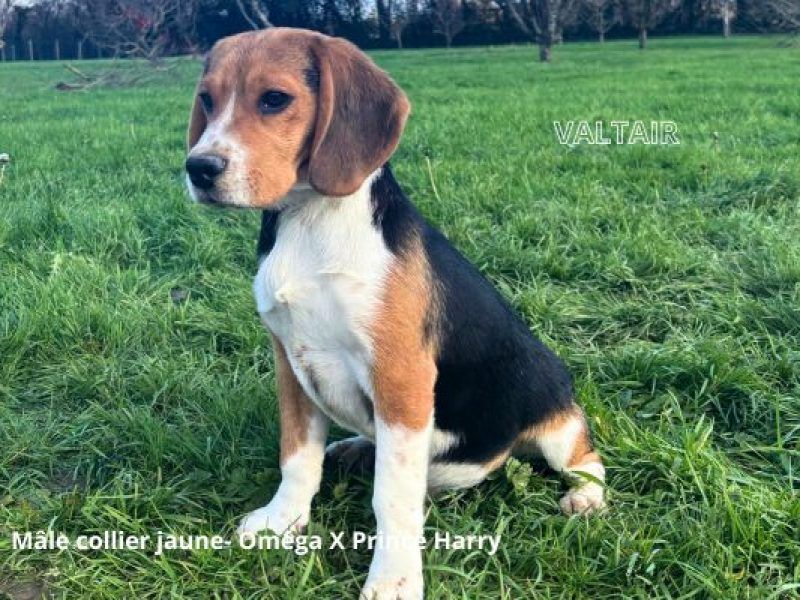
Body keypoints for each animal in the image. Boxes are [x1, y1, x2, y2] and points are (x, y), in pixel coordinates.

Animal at [183, 28, 608, 600]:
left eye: (274, 99)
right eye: (207, 100)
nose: (199, 168)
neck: (310, 219)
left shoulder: (400, 376)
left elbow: (392, 497)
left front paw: (394, 579)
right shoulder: (291, 364)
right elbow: (296, 457)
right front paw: (282, 520)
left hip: (552, 421)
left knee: (585, 455)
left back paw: (585, 496)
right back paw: (354, 446)